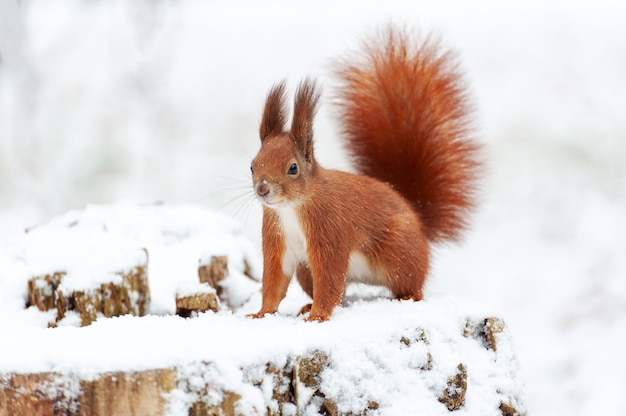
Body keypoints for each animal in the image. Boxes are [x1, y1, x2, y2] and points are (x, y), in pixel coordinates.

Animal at [246, 26, 480, 322]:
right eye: (252, 165)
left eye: (293, 168)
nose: (263, 189)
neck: (291, 209)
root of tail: (418, 221)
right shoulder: (278, 241)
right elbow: (274, 282)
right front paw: (262, 313)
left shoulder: (329, 232)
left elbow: (330, 277)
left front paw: (318, 317)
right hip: (305, 270)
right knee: (340, 292)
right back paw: (307, 304)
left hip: (399, 254)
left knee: (410, 284)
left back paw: (408, 297)